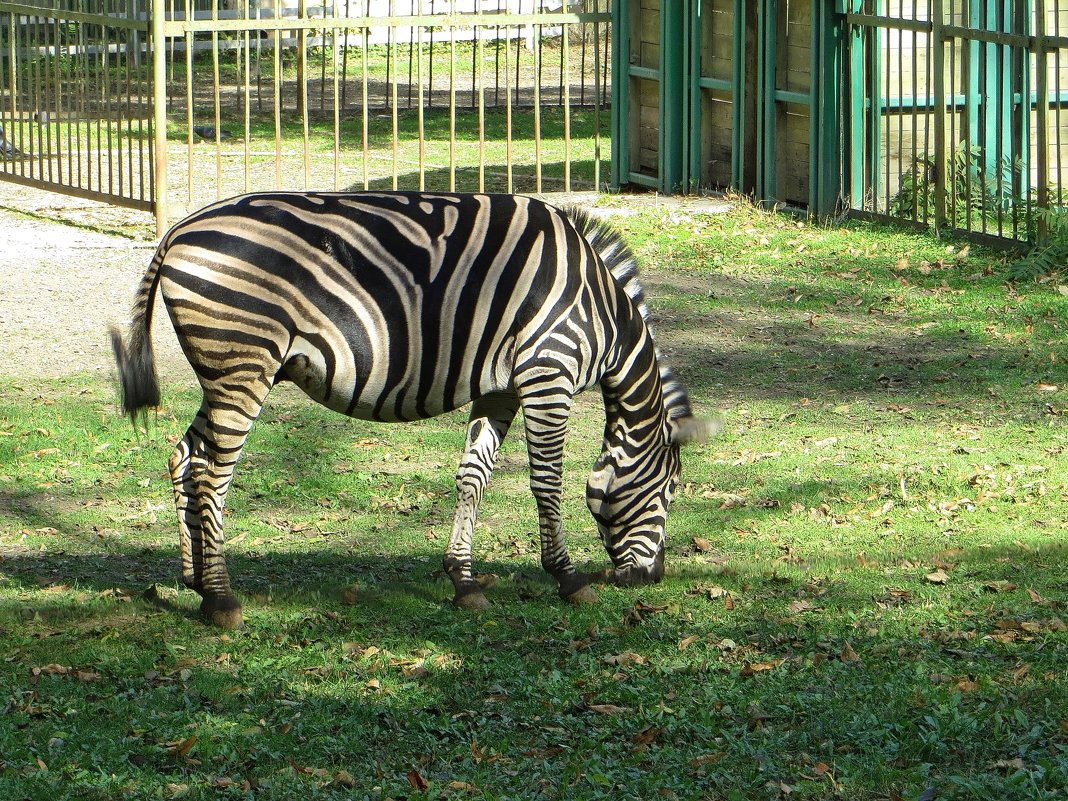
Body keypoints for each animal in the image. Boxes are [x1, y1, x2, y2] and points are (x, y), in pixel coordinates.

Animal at [110, 191, 717, 632]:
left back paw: (193, 581)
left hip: (223, 372)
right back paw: (220, 599)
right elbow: (546, 481)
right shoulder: (549, 373)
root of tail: (179, 228)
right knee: (213, 474)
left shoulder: (500, 387)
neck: (602, 314)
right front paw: (567, 578)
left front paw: (464, 581)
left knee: (184, 457)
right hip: (243, 365)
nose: (654, 578)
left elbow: (473, 476)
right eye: (668, 490)